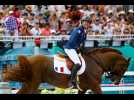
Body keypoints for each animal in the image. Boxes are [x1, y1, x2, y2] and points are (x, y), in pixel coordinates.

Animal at [2, 47, 131, 94]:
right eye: (124, 68)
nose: (116, 82)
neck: (96, 62)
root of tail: (29, 60)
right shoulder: (95, 86)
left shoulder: (83, 88)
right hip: (32, 84)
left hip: (30, 84)